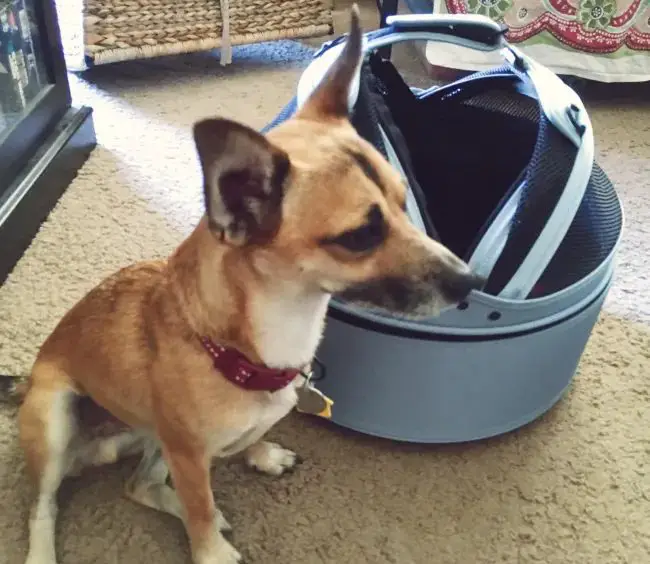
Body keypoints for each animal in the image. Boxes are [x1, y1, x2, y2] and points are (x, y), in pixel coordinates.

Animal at [16, 7, 480, 564]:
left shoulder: (196, 444)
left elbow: (240, 451)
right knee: (45, 506)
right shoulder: (188, 456)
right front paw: (209, 547)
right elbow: (197, 506)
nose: (472, 281)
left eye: (405, 203)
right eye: (360, 236)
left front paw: (259, 455)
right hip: (54, 418)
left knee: (139, 485)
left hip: (146, 441)